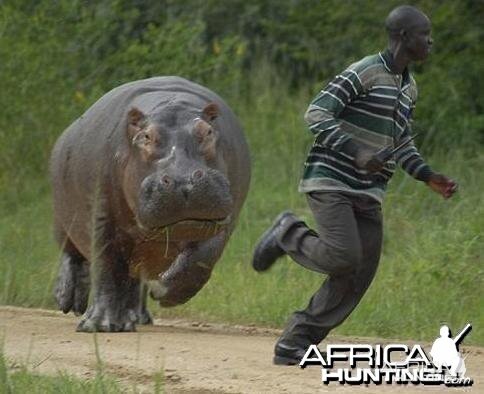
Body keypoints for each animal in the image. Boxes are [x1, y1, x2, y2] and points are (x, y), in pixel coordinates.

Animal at [50, 75, 250, 330]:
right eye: (146, 136)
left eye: (207, 132)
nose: (183, 180)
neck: (171, 103)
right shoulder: (101, 217)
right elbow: (105, 266)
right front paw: (99, 325)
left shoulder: (225, 220)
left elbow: (201, 260)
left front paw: (162, 289)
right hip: (63, 218)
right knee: (72, 255)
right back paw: (69, 301)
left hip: (140, 253)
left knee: (132, 280)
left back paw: (135, 318)